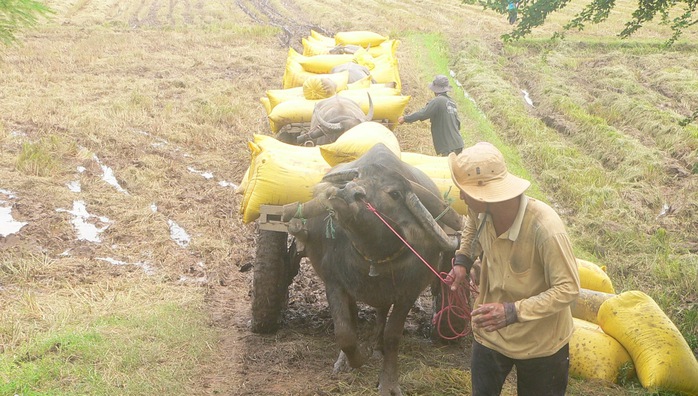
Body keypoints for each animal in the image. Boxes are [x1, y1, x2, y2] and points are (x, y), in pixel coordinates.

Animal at [282, 144, 462, 394]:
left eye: (394, 194)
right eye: (357, 177)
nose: (347, 191)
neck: (374, 257)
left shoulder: (408, 294)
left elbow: (392, 335)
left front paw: (388, 382)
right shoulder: (334, 284)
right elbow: (345, 333)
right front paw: (356, 359)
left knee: (381, 314)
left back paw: (376, 346)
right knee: (355, 318)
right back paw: (348, 357)